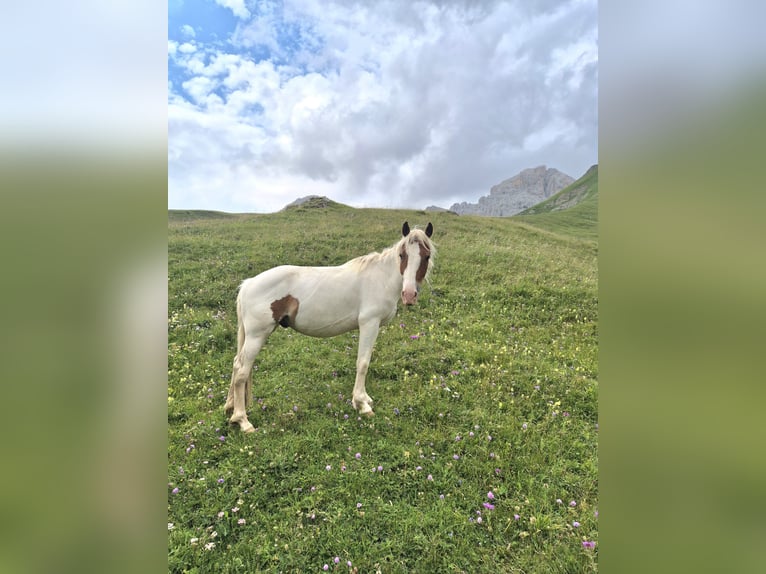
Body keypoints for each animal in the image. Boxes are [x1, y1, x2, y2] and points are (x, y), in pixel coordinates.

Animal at [225, 221, 435, 432]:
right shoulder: (369, 323)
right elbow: (363, 363)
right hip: (256, 336)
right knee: (242, 371)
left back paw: (231, 410)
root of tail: (248, 284)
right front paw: (361, 404)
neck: (381, 278)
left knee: (236, 365)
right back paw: (243, 421)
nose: (409, 295)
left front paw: (364, 399)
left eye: (426, 256)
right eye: (402, 255)